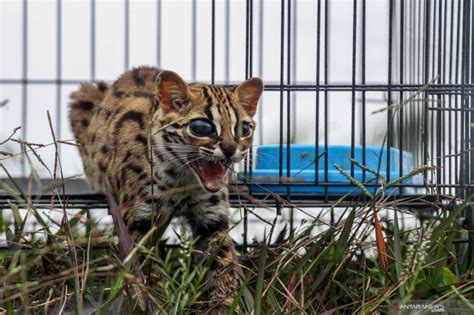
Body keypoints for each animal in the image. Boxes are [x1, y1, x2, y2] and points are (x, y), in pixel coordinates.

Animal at [69, 66, 262, 314]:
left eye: (243, 128)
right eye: (202, 127)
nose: (230, 148)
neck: (181, 178)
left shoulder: (213, 219)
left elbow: (224, 265)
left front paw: (227, 305)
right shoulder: (137, 221)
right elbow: (146, 271)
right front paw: (157, 303)